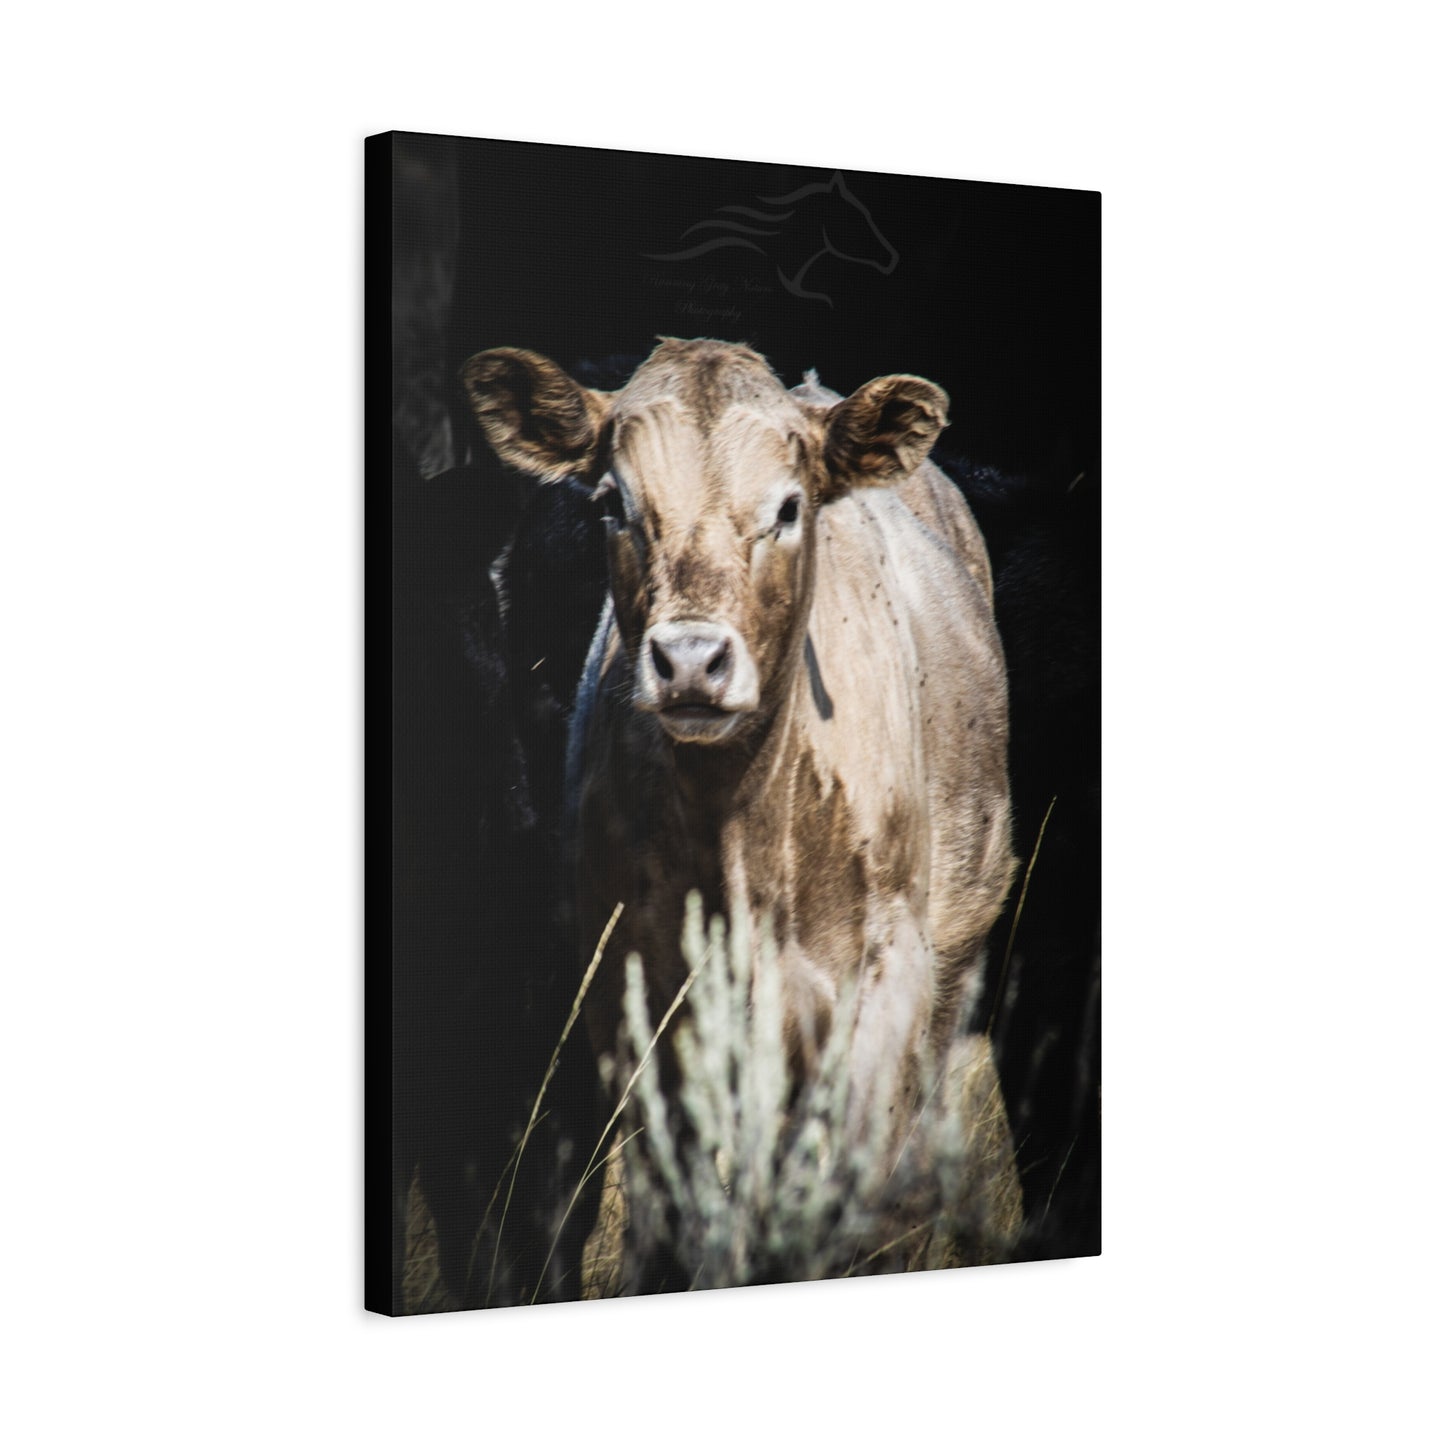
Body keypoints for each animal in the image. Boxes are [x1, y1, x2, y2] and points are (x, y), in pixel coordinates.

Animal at [464, 337, 1023, 1280]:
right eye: (615, 503)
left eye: (788, 506)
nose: (691, 659)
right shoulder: (630, 998)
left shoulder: (883, 980)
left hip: (949, 968)